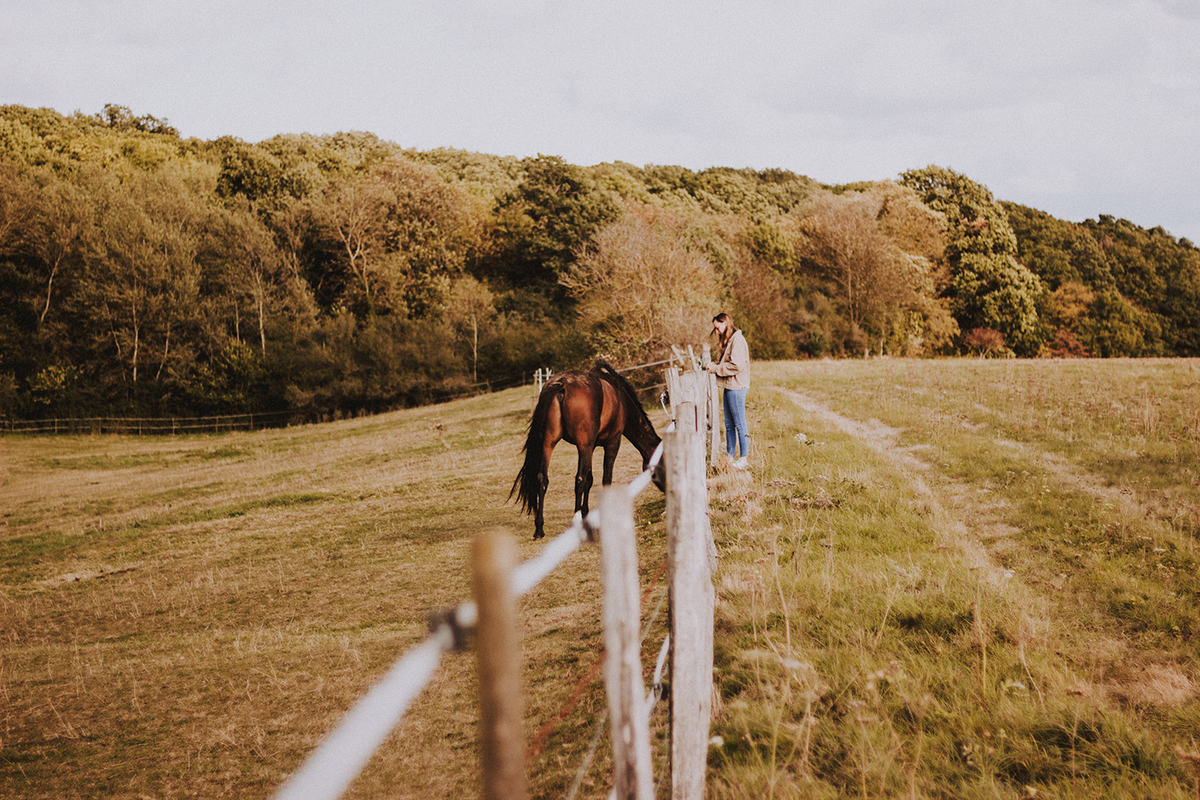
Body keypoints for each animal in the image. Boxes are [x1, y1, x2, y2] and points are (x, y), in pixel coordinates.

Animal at [513, 362, 672, 537]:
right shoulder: (612, 443)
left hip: (549, 443)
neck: (620, 398)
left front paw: (586, 515)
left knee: (543, 478)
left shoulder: (592, 446)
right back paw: (575, 522)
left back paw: (539, 528)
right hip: (583, 446)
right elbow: (604, 479)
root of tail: (561, 385)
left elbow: (590, 480)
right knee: (579, 479)